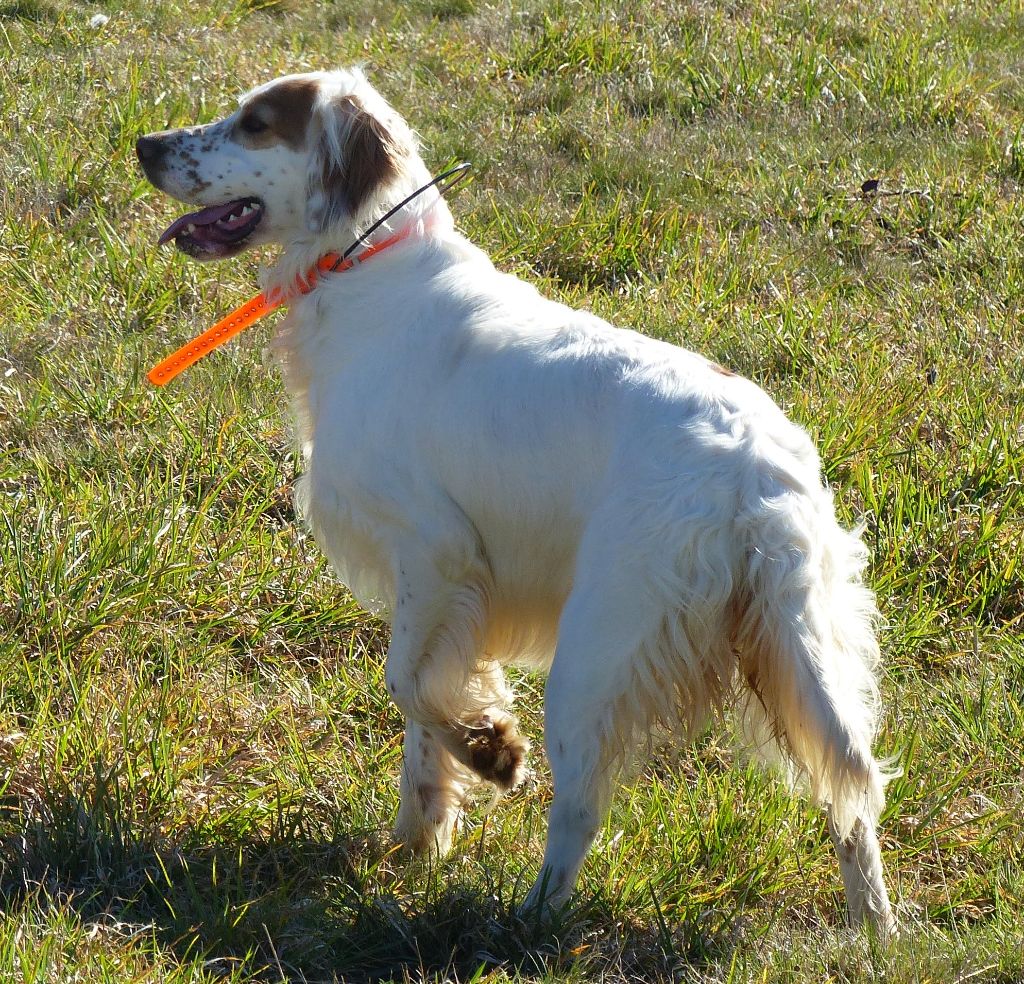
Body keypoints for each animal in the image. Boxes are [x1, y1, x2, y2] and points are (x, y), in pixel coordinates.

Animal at [138, 67, 897, 929]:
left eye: (258, 123)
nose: (145, 145)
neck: (371, 271)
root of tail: (754, 470)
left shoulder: (435, 552)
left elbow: (407, 686)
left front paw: (491, 752)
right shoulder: (454, 594)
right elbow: (422, 711)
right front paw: (419, 833)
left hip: (597, 651)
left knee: (582, 807)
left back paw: (527, 918)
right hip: (809, 644)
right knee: (852, 796)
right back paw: (875, 933)